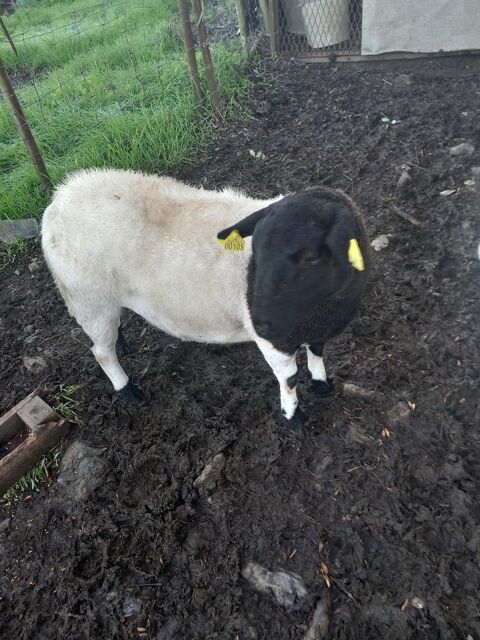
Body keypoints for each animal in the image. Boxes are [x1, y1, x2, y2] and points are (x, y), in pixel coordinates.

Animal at [41, 169, 371, 430]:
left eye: (311, 259)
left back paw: (122, 343)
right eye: (257, 251)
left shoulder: (318, 328)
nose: (260, 322)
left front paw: (321, 383)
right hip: (89, 299)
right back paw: (127, 389)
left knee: (111, 332)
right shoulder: (275, 343)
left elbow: (317, 351)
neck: (322, 310)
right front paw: (293, 417)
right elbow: (288, 377)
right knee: (101, 352)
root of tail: (59, 199)